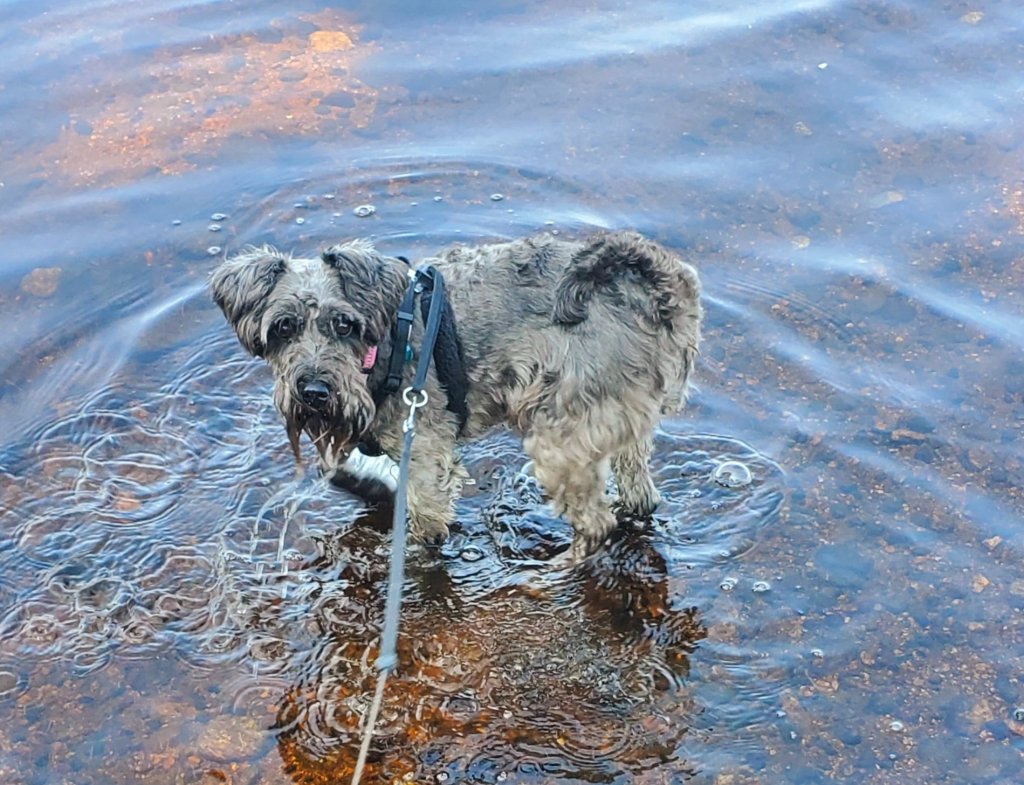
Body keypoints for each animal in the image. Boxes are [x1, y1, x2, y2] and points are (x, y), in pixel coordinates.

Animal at [211, 232, 701, 559]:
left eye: (344, 325)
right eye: (283, 327)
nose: (314, 391)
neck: (388, 341)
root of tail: (660, 296)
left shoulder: (425, 451)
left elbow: (424, 521)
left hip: (561, 441)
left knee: (597, 524)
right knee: (639, 495)